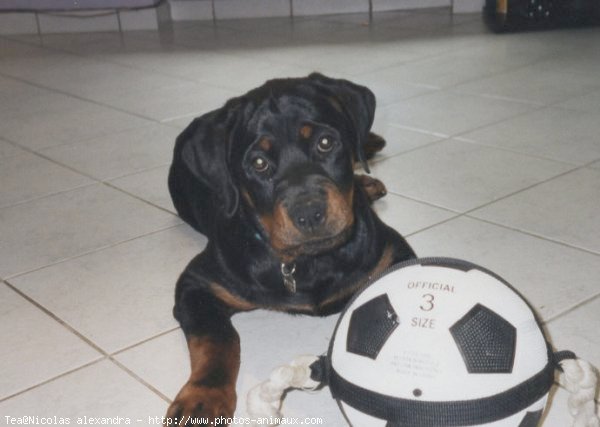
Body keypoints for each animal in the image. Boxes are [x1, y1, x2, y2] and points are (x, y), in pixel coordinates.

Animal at [166, 73, 414, 424]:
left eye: (325, 142)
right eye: (258, 163)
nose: (309, 213)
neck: (308, 263)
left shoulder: (393, 254)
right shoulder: (197, 283)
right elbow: (218, 339)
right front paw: (202, 399)